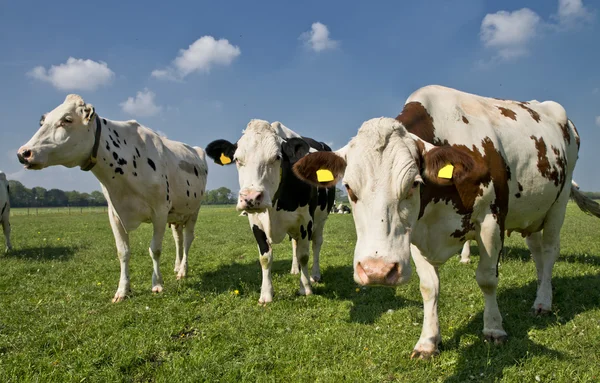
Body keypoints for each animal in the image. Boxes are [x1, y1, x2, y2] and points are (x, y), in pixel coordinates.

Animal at [17, 94, 209, 304]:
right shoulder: (115, 213)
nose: (23, 153)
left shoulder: (159, 211)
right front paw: (123, 290)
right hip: (176, 214)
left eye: (67, 119)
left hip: (194, 210)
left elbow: (155, 249)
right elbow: (122, 252)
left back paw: (183, 270)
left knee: (188, 239)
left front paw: (157, 284)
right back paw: (177, 266)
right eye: (42, 121)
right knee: (178, 239)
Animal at [205, 118, 338, 304]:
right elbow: (265, 258)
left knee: (316, 244)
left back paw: (315, 275)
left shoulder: (305, 221)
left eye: (277, 157)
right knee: (294, 243)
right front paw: (266, 293)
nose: (251, 197)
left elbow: (304, 255)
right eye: (237, 159)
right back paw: (294, 269)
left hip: (321, 219)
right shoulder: (255, 222)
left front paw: (305, 288)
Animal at [292, 85, 600, 360]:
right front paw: (428, 341)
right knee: (537, 254)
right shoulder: (414, 234)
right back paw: (541, 288)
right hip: (531, 211)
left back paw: (543, 301)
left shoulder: (491, 220)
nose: (377, 271)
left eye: (414, 184)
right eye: (349, 188)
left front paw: (494, 329)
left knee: (549, 252)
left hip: (558, 203)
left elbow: (487, 279)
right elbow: (429, 287)